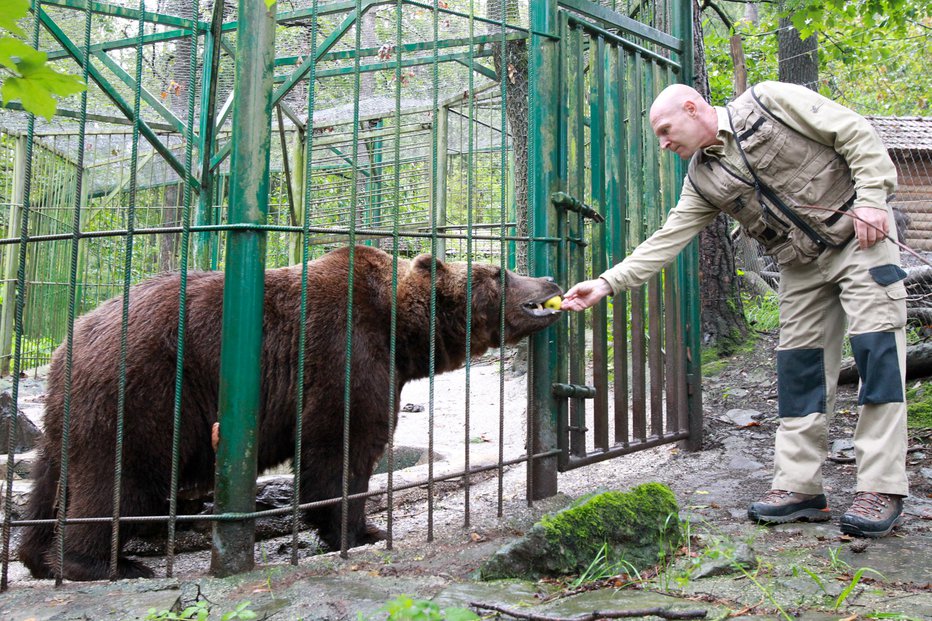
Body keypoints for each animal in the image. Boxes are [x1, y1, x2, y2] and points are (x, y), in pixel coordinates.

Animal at [18, 245, 564, 580]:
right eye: (499, 273)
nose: (549, 275)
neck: (401, 332)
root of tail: (70, 341)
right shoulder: (343, 353)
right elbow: (341, 450)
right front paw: (363, 530)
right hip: (145, 391)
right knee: (122, 478)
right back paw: (107, 565)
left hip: (71, 413)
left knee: (52, 478)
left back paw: (38, 557)